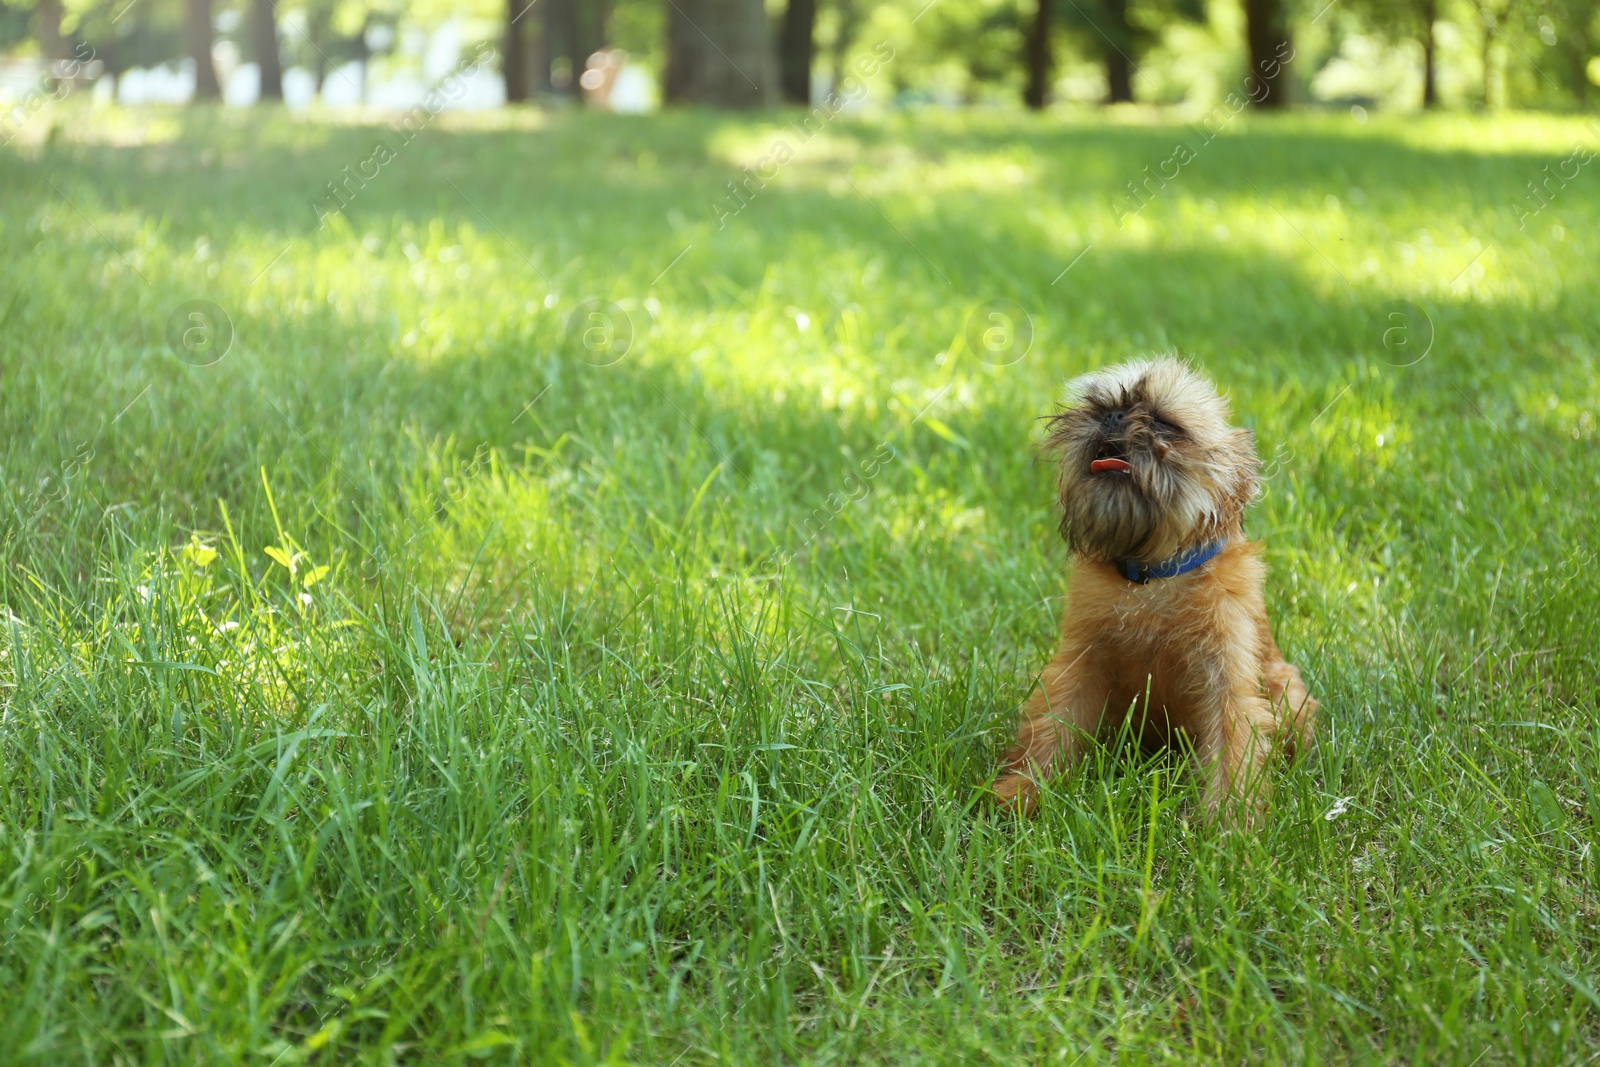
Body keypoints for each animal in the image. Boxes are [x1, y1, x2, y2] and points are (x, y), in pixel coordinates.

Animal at [992, 355, 1318, 825]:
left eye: (1164, 422)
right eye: (1099, 406)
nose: (1113, 418)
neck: (1152, 576)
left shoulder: (1225, 678)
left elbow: (1233, 747)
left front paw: (1229, 824)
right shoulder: (1079, 665)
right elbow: (1053, 725)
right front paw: (1023, 791)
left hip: (1287, 693)